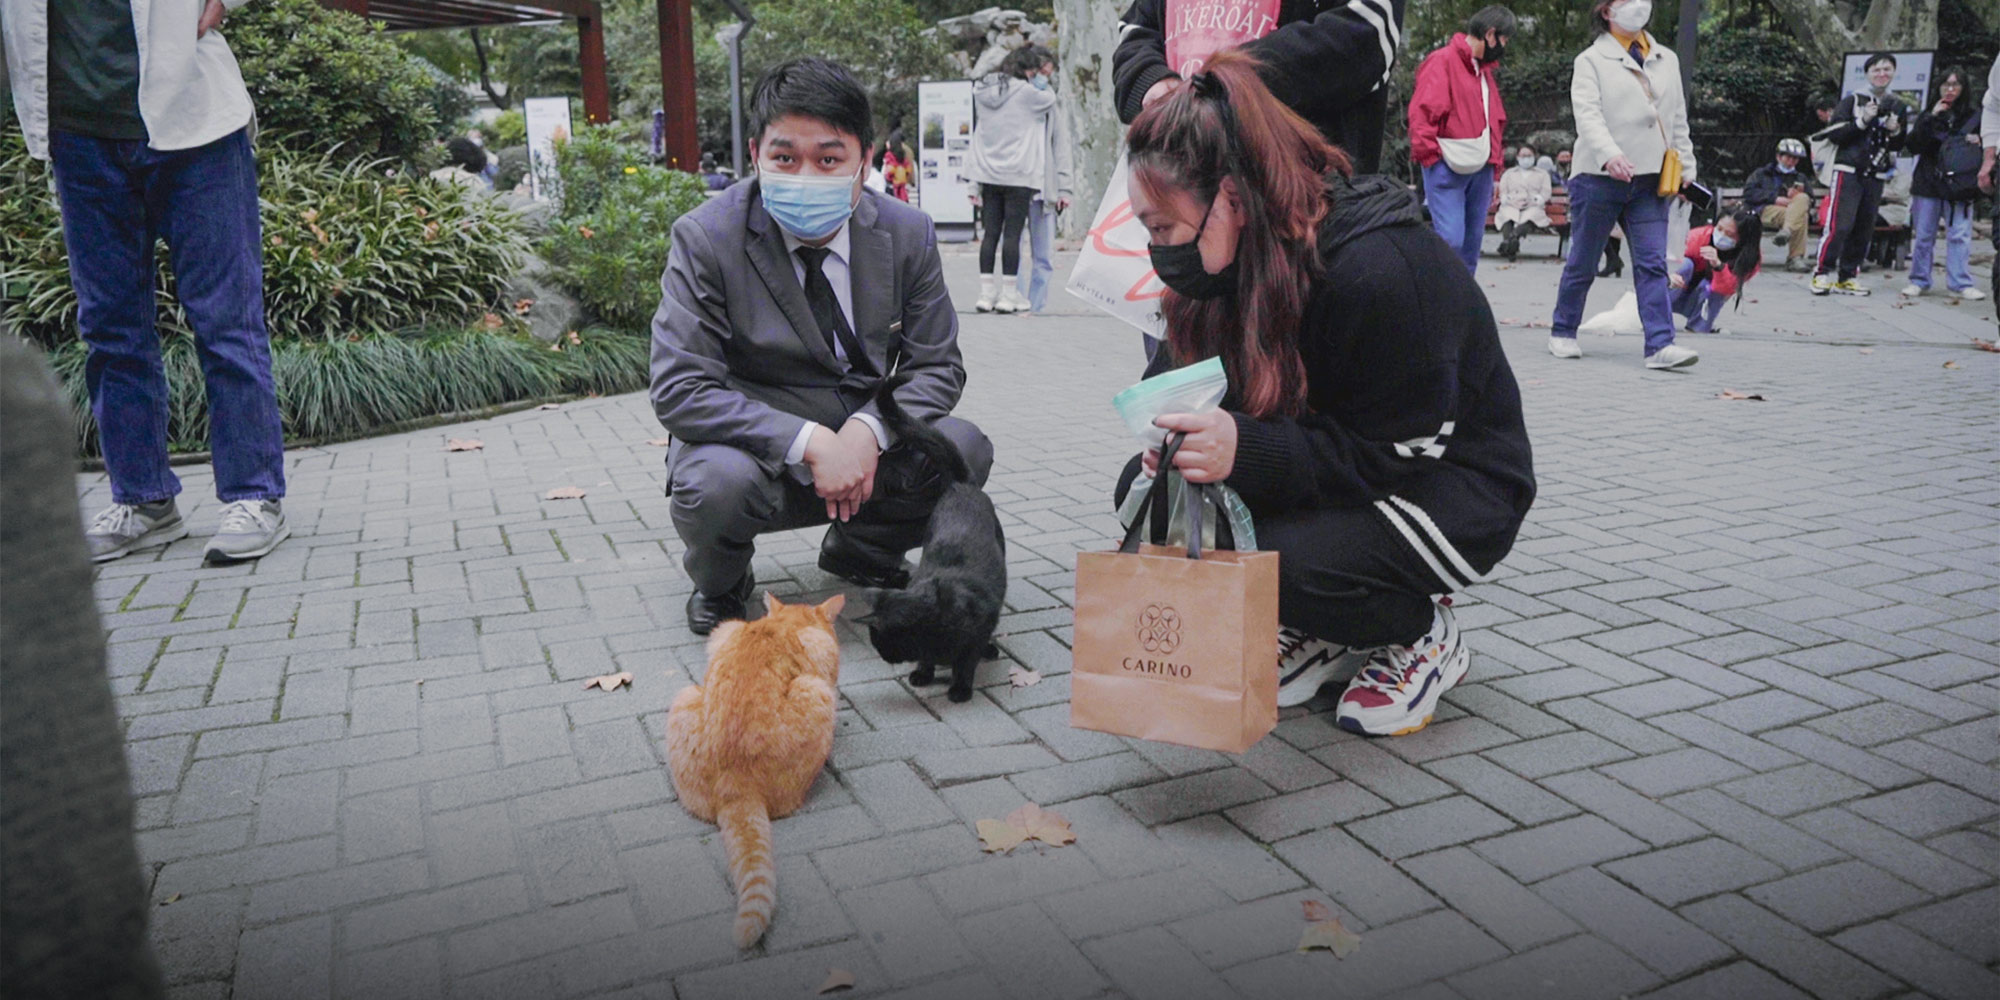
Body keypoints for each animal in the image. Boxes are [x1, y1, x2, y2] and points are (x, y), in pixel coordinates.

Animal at [856, 372, 1000, 700]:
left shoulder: (976, 632)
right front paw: (923, 673)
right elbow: (926, 657)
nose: (883, 655)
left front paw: (960, 689)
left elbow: (967, 662)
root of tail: (960, 485)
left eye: (879, 641)